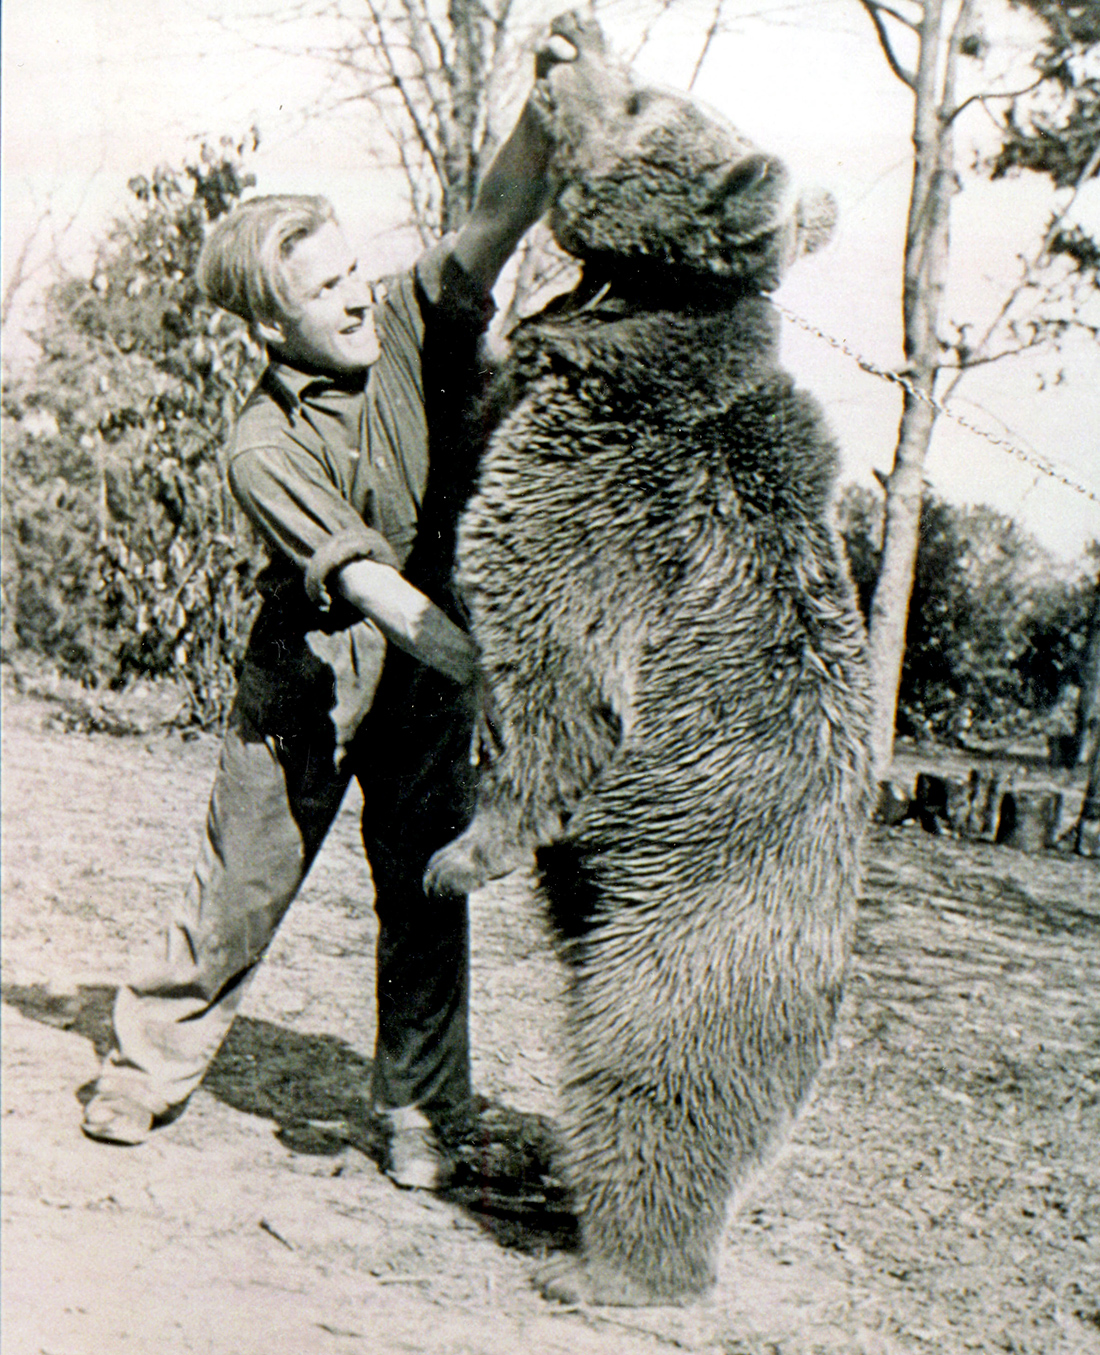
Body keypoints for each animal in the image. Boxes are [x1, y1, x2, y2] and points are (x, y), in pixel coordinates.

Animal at [425, 13, 872, 1311]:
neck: (626, 323)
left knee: (652, 1074)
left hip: (698, 914)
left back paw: (614, 1270)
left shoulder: (617, 499)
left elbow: (551, 662)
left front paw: (459, 851)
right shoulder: (534, 392)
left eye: (641, 102)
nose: (567, 38)